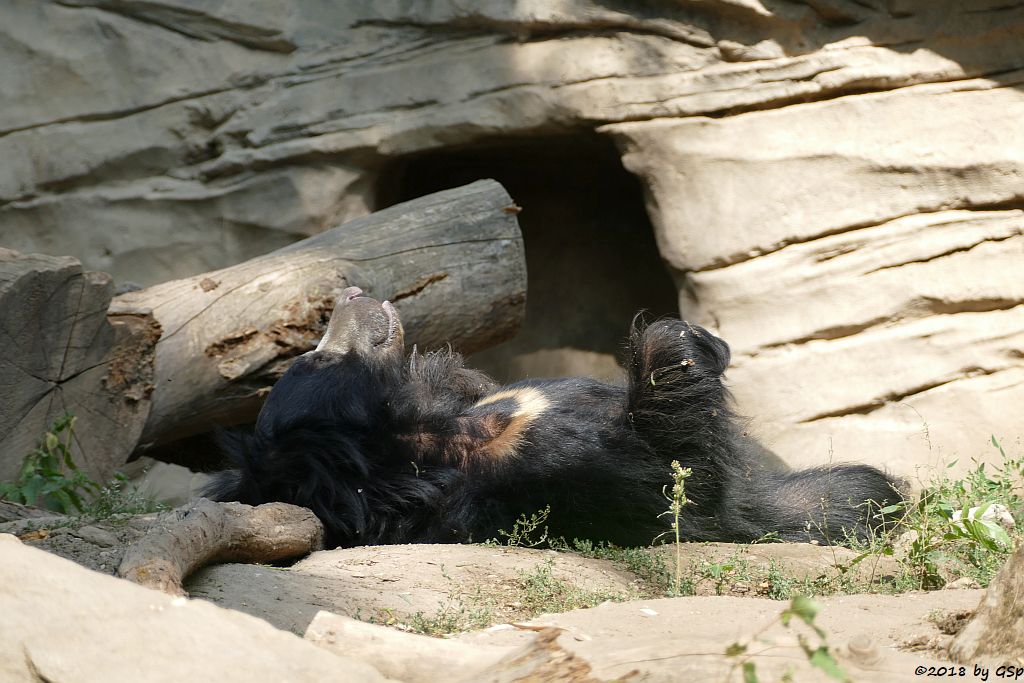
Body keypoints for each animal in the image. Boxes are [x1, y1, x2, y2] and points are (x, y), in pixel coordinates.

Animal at [205, 286, 897, 548]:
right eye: (318, 357)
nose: (350, 293)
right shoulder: (546, 471)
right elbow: (678, 475)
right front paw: (678, 345)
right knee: (848, 492)